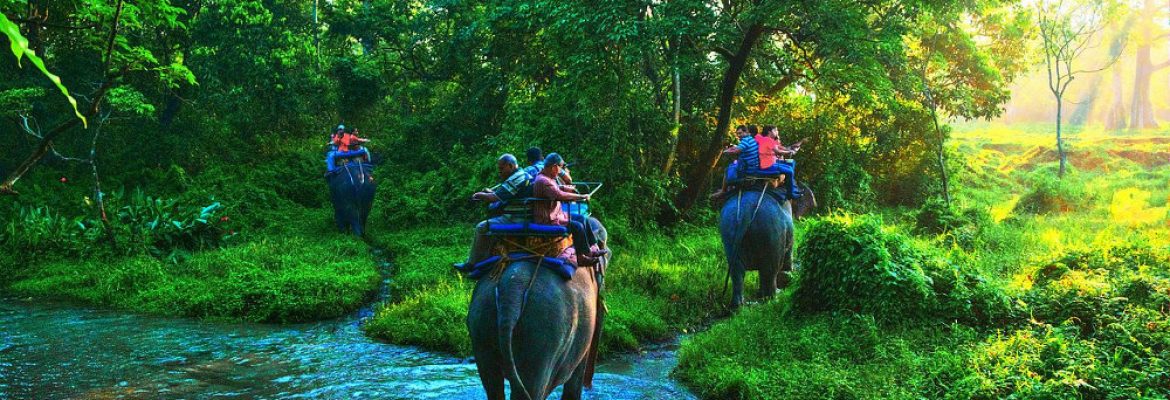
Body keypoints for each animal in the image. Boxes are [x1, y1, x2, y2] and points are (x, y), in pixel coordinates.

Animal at [467, 218, 613, 399]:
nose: (590, 386)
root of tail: (513, 286)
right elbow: (574, 382)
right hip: (544, 331)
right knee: (533, 386)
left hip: (481, 320)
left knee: (493, 383)